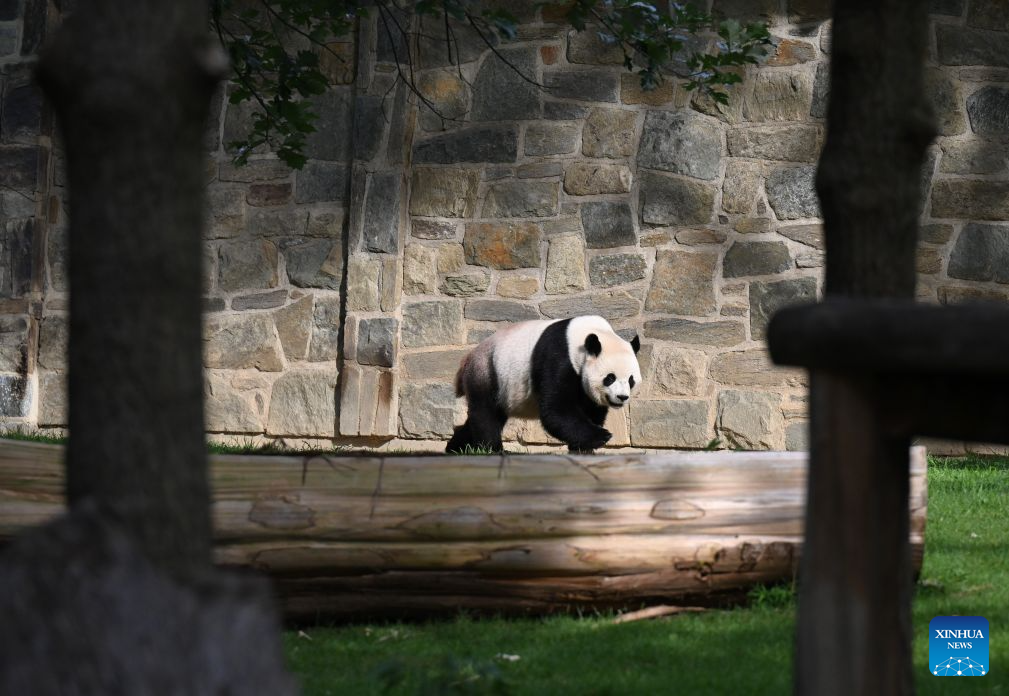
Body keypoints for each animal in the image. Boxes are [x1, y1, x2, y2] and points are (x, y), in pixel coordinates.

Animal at [446, 315, 641, 454]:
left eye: (631, 380)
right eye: (610, 378)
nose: (622, 397)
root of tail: (467, 358)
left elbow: (590, 408)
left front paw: (583, 447)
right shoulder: (559, 357)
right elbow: (556, 410)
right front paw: (602, 436)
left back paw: (457, 448)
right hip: (487, 370)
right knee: (486, 413)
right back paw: (492, 449)